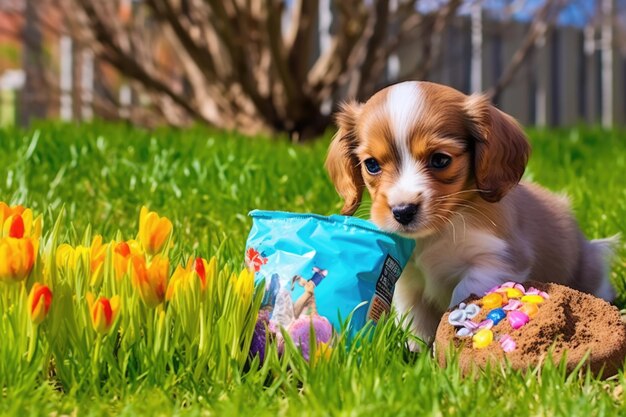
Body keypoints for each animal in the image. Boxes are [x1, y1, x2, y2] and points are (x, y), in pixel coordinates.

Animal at [326, 80, 616, 342]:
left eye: (440, 160)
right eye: (372, 165)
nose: (402, 211)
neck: (439, 230)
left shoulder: (496, 260)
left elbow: (462, 293)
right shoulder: (407, 281)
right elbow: (416, 320)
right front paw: (419, 356)